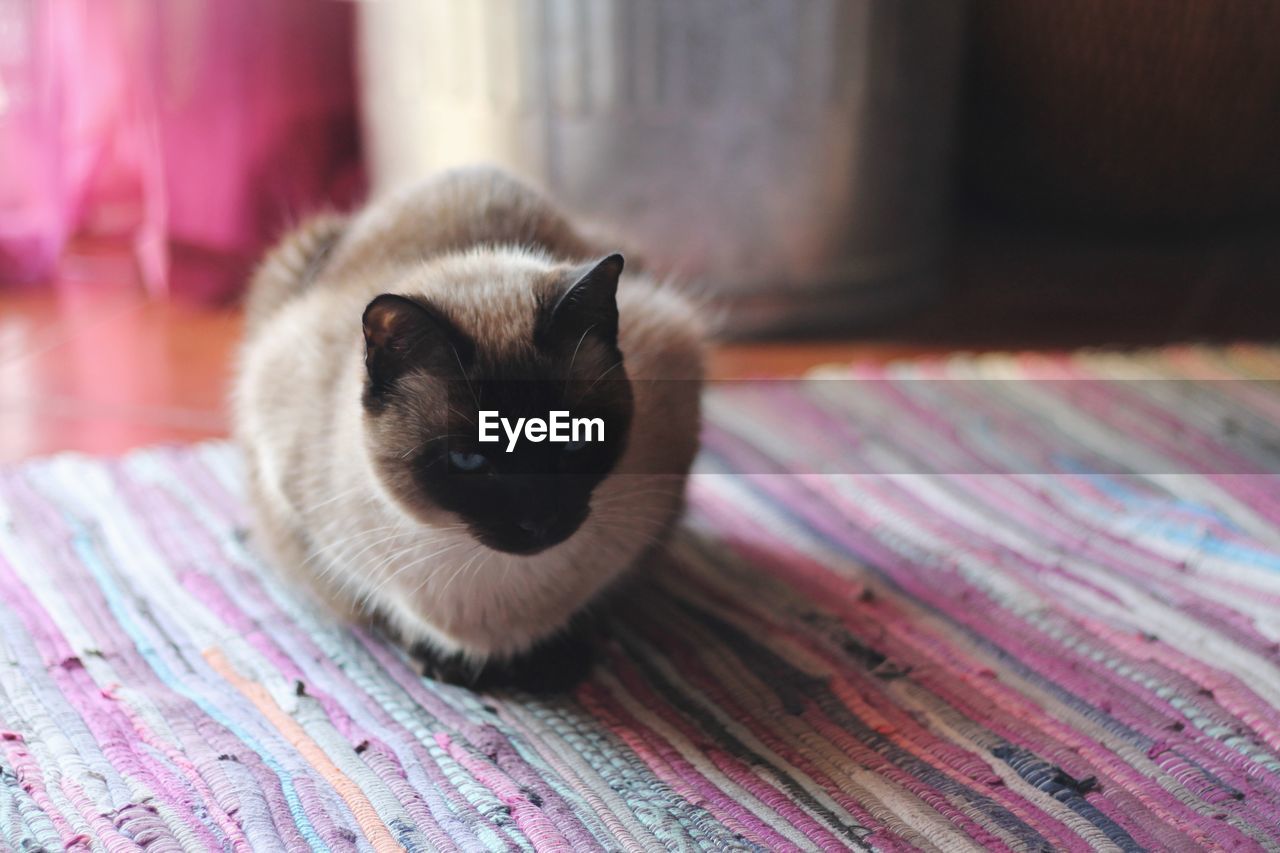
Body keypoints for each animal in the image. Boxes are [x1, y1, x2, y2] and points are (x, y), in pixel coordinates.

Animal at [230, 167, 701, 691]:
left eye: (575, 438)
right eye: (469, 459)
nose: (541, 522)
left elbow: (599, 596)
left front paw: (559, 658)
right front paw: (441, 660)